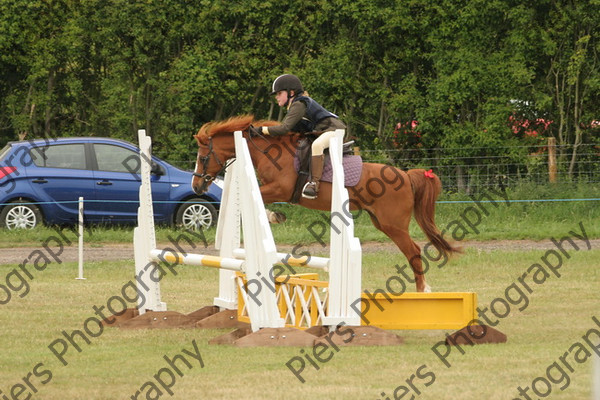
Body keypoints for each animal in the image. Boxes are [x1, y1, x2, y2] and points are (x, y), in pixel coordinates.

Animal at [192, 114, 460, 292]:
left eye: (203, 157)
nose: (196, 187)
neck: (270, 151)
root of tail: (405, 175)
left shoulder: (281, 188)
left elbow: (258, 194)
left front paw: (272, 216)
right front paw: (275, 216)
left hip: (393, 224)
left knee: (413, 251)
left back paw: (422, 290)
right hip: (381, 222)